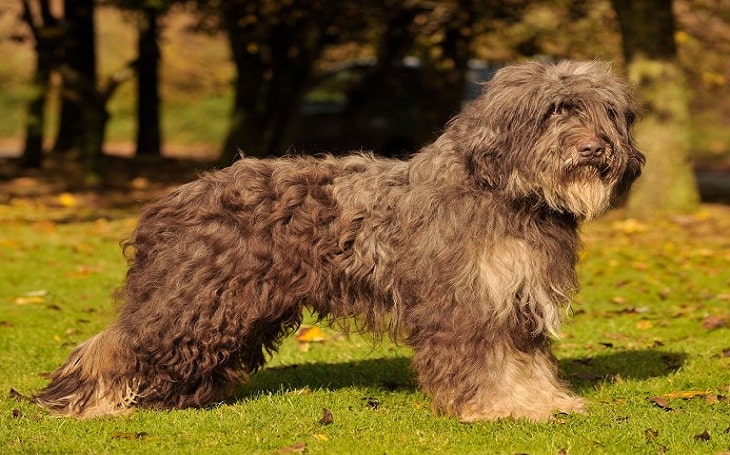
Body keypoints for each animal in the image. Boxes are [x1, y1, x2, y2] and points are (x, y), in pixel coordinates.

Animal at [34, 61, 640, 424]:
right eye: (555, 110)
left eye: (606, 111)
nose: (594, 149)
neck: (506, 192)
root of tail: (177, 195)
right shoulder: (466, 304)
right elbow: (485, 363)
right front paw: (495, 408)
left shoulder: (517, 300)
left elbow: (527, 362)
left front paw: (543, 402)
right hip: (193, 302)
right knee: (120, 344)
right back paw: (92, 402)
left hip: (232, 311)